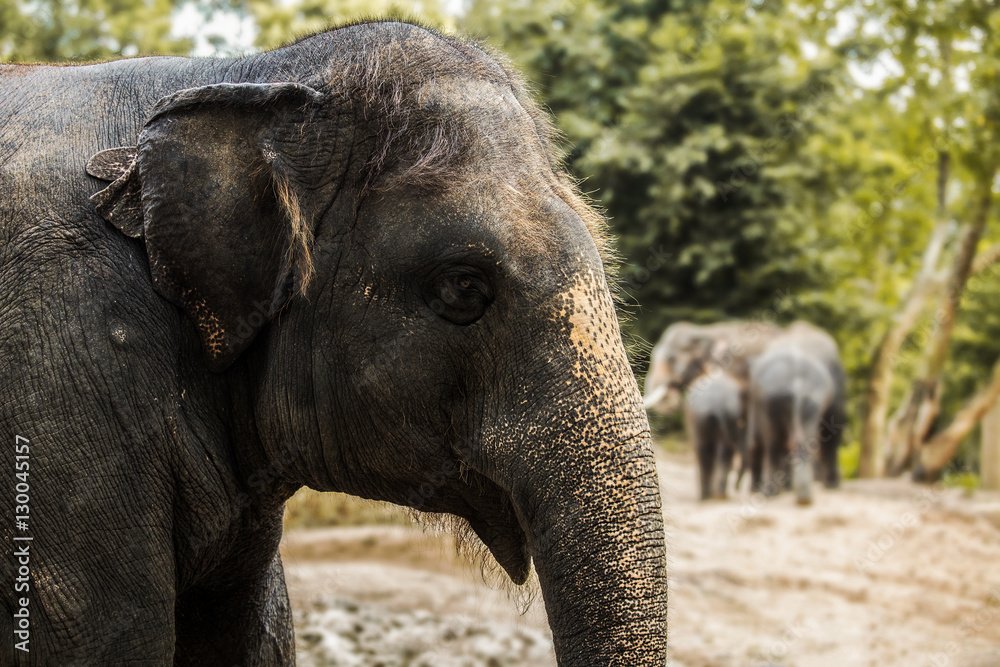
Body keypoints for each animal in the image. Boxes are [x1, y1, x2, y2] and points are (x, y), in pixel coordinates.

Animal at [684, 368, 745, 500]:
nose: (737, 488)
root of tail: (718, 405)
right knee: (718, 454)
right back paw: (713, 495)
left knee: (710, 453)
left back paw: (711, 495)